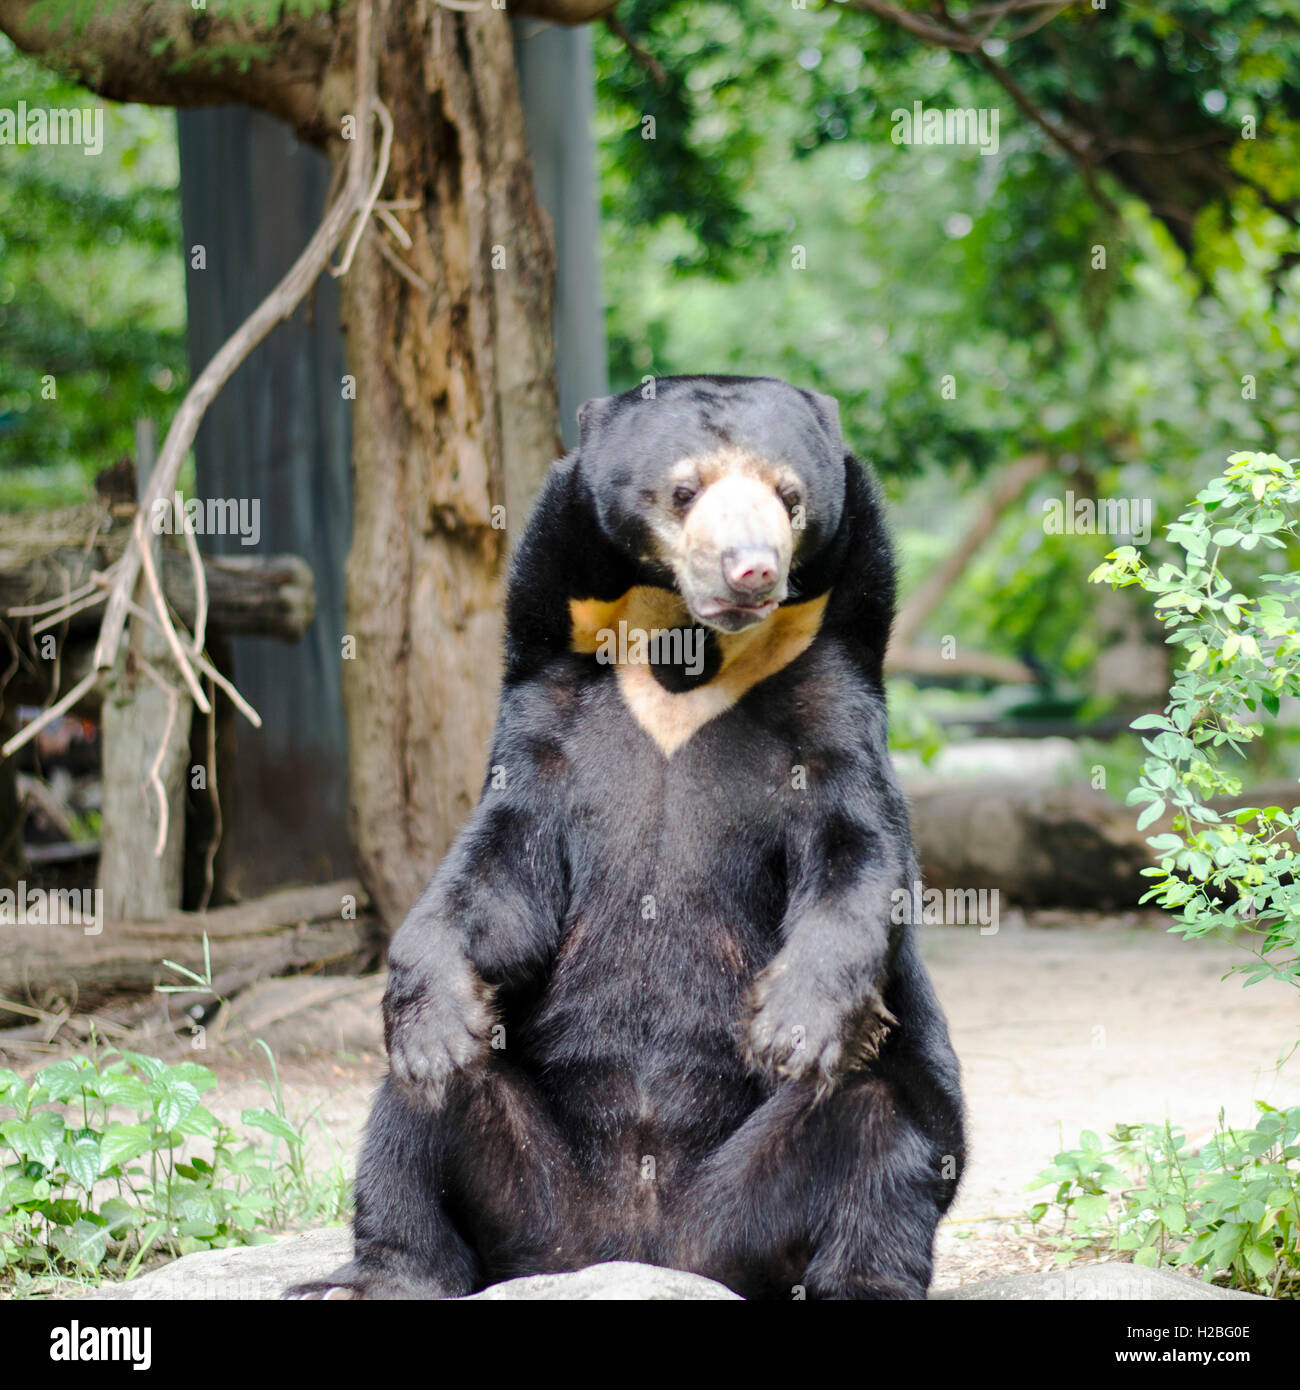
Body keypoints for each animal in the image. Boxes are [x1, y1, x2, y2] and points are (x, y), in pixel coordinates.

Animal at [289, 372, 962, 1301]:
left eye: (789, 496)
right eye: (685, 490)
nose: (752, 569)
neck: (688, 656)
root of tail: (637, 1248)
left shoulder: (828, 695)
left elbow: (857, 850)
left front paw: (794, 1024)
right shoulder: (551, 705)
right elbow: (497, 871)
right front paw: (435, 1010)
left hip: (766, 1191)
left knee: (881, 1128)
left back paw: (860, 1280)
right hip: (531, 1185)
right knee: (414, 1114)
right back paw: (378, 1268)